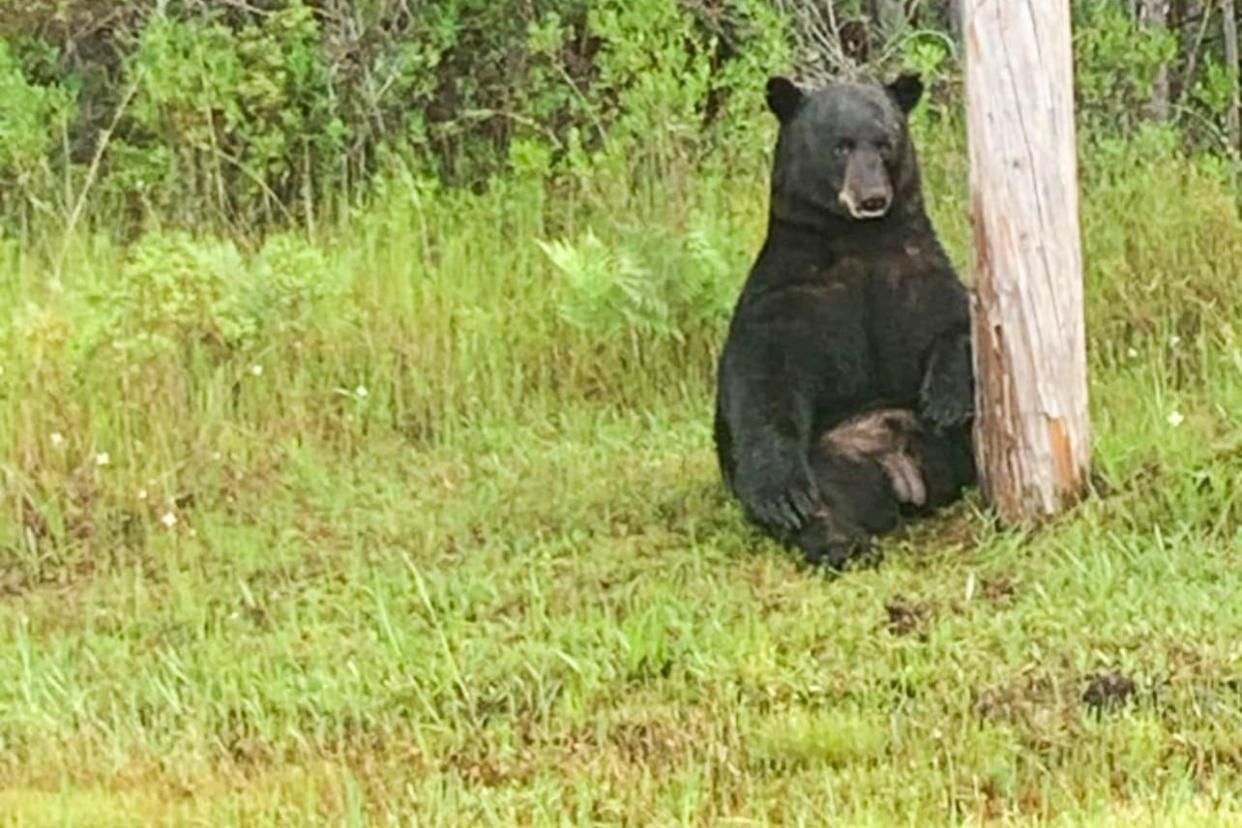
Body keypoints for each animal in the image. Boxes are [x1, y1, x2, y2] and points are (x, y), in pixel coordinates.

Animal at [715, 74, 973, 566]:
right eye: (840, 146)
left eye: (885, 142)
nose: (872, 197)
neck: (859, 240)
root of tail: (899, 469)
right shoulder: (790, 294)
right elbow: (764, 380)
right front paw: (780, 495)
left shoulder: (918, 271)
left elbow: (960, 320)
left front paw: (947, 398)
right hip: (831, 459)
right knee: (822, 500)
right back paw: (842, 542)